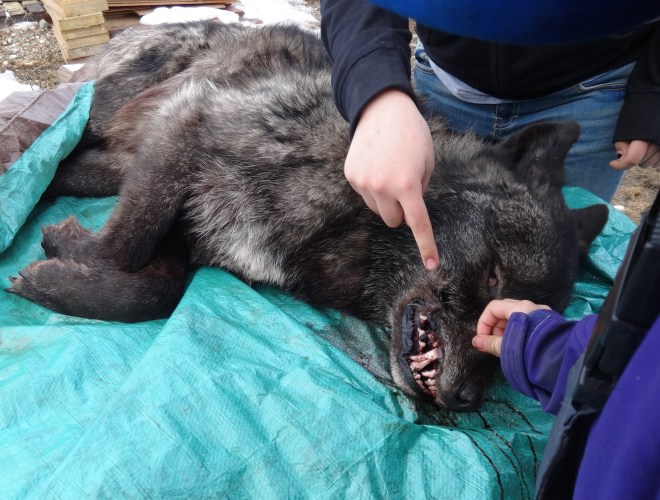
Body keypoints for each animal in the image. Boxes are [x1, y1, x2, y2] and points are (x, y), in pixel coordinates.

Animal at [6, 21, 608, 411]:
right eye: (494, 277)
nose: (466, 401)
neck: (358, 221)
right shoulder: (186, 124)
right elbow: (130, 247)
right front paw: (70, 257)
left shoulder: (187, 220)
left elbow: (159, 288)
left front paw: (63, 273)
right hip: (111, 112)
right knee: (50, 145)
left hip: (114, 161)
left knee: (65, 169)